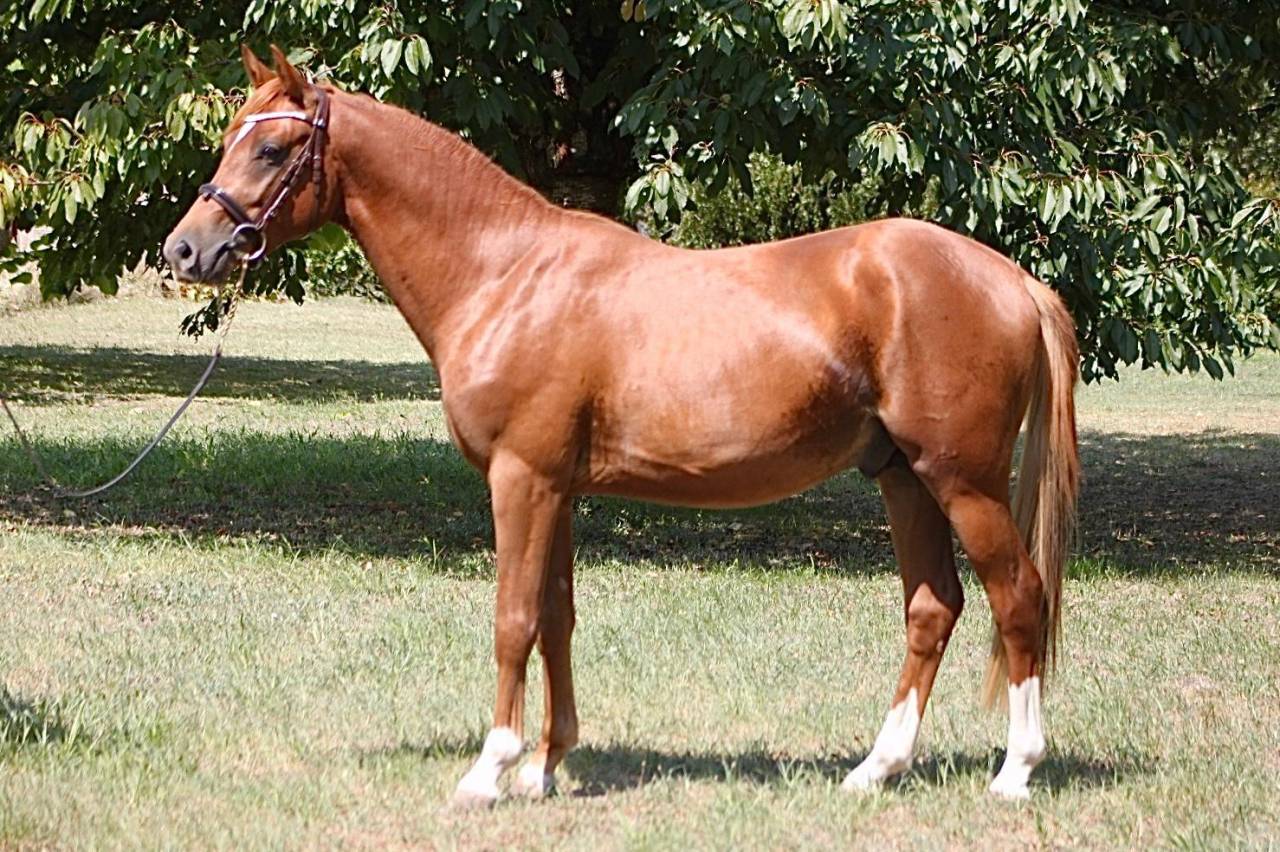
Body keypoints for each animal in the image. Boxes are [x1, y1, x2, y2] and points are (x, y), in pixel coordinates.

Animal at [164, 46, 1079, 806]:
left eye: (272, 151)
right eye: (228, 139)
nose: (186, 250)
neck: (506, 272)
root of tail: (1009, 278)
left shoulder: (522, 480)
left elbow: (514, 620)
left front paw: (490, 772)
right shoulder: (557, 489)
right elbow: (557, 617)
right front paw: (544, 766)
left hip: (963, 481)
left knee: (1017, 598)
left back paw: (1015, 773)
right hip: (903, 477)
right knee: (933, 608)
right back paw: (874, 770)